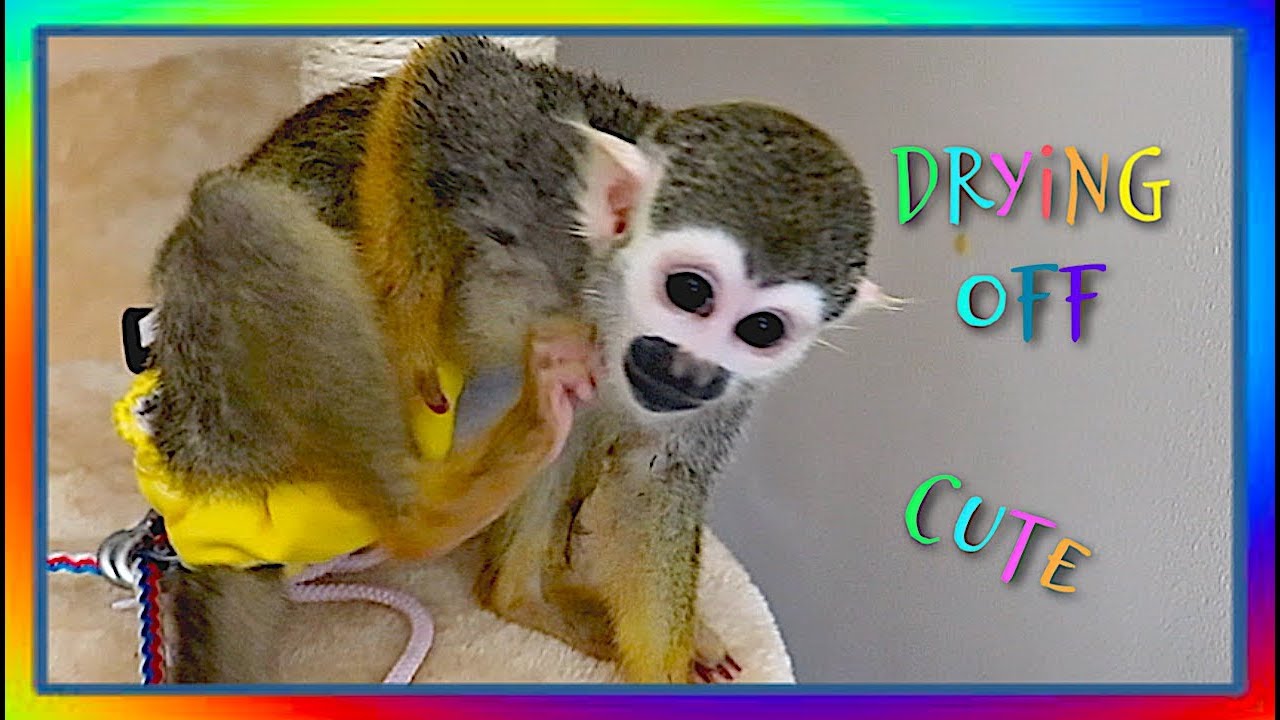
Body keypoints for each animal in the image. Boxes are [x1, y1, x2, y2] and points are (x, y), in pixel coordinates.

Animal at [145, 35, 875, 684]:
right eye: (690, 291)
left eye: (760, 330)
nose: (688, 372)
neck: (602, 303)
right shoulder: (545, 171)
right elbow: (447, 76)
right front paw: (408, 318)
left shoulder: (731, 391)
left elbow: (653, 479)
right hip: (228, 415)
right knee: (236, 214)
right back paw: (428, 515)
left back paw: (523, 594)